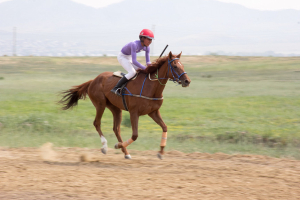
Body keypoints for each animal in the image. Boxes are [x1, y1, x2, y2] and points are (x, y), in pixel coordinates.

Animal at [59, 51, 191, 159]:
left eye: (183, 66)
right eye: (175, 66)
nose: (187, 81)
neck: (151, 87)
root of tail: (93, 80)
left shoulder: (153, 112)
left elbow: (165, 127)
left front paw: (161, 152)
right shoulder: (134, 112)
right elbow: (135, 135)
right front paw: (117, 145)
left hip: (116, 108)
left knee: (116, 129)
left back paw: (126, 153)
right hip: (100, 104)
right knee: (97, 123)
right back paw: (105, 147)